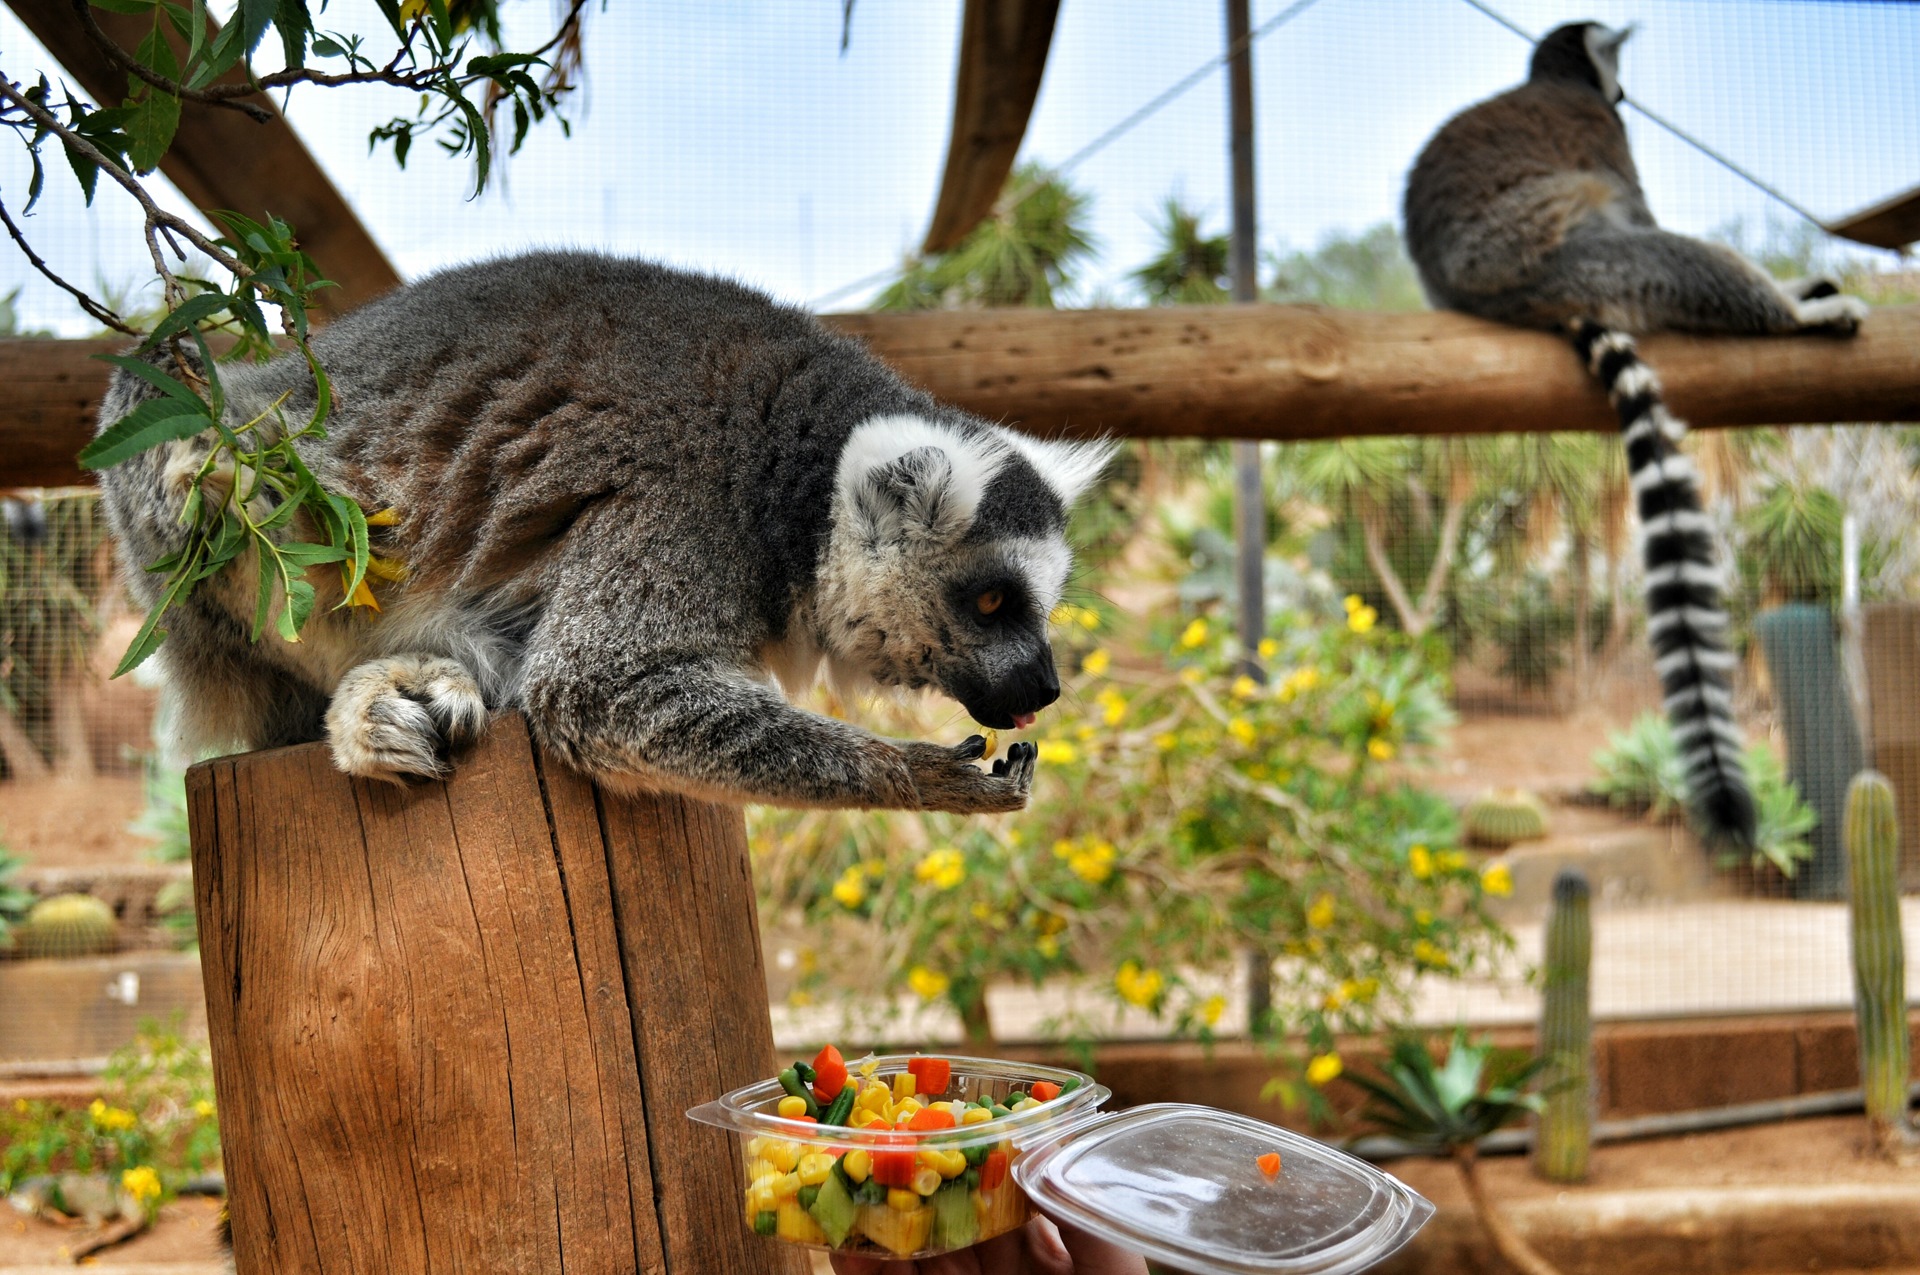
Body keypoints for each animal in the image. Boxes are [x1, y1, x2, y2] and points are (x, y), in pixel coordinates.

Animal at [94, 252, 1116, 814]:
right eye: (991, 601)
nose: (1045, 685)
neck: (790, 477)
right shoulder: (684, 505)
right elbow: (598, 691)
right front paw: (918, 776)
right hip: (230, 502)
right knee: (192, 437)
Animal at [1402, 21, 1867, 849]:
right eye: (1614, 65)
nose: (1625, 92)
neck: (1559, 80)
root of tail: (1489, 300)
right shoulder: (1601, 136)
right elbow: (1642, 212)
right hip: (1570, 261)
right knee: (1667, 256)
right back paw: (1796, 313)